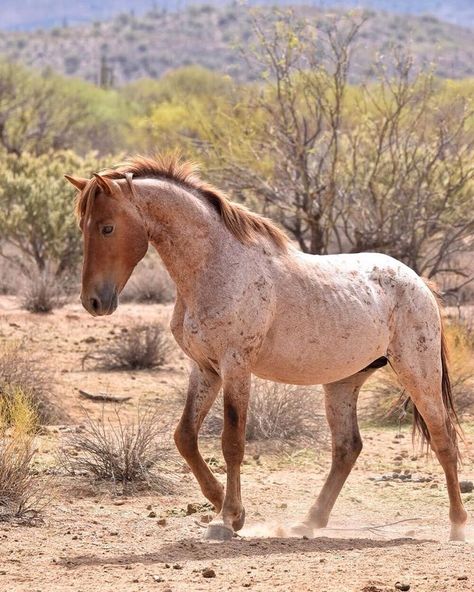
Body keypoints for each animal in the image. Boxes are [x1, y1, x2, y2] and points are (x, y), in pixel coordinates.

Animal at [65, 156, 468, 540]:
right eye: (83, 227)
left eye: (107, 227)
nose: (93, 302)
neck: (216, 265)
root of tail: (418, 283)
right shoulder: (206, 369)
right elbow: (185, 437)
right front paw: (226, 506)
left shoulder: (235, 367)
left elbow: (232, 443)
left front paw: (226, 519)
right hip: (343, 383)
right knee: (347, 448)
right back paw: (309, 522)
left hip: (418, 373)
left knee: (442, 438)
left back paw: (457, 525)